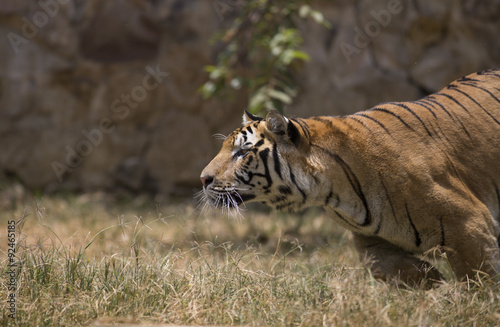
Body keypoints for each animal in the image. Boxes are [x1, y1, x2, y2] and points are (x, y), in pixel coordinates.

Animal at [200, 69, 500, 284]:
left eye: (242, 152)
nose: (203, 179)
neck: (332, 192)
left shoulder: (468, 222)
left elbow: (480, 280)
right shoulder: (371, 240)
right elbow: (381, 265)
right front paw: (433, 283)